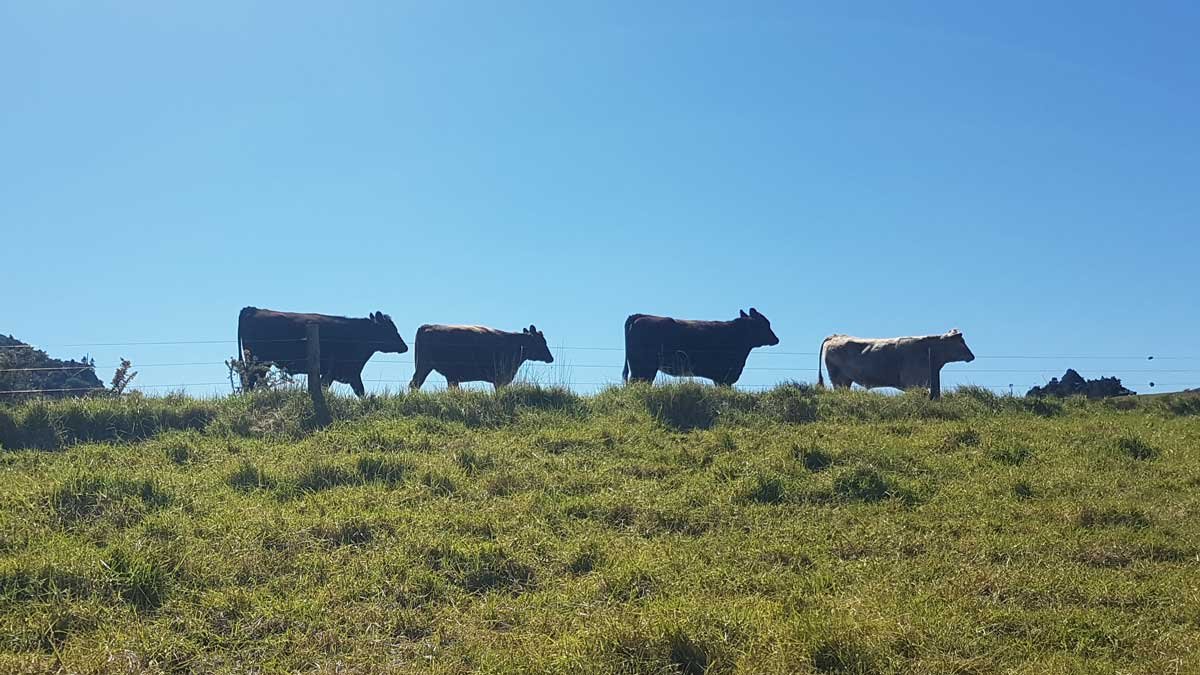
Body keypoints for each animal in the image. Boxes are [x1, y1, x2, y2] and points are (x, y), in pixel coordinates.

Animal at [237, 306, 408, 397]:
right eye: (391, 329)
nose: (405, 347)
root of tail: (252, 309)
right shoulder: (332, 370)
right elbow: (325, 388)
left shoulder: (352, 373)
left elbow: (360, 391)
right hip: (258, 361)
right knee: (251, 380)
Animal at [409, 324, 554, 390]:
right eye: (542, 342)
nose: (551, 358)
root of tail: (427, 326)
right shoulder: (499, 379)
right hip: (424, 366)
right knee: (414, 384)